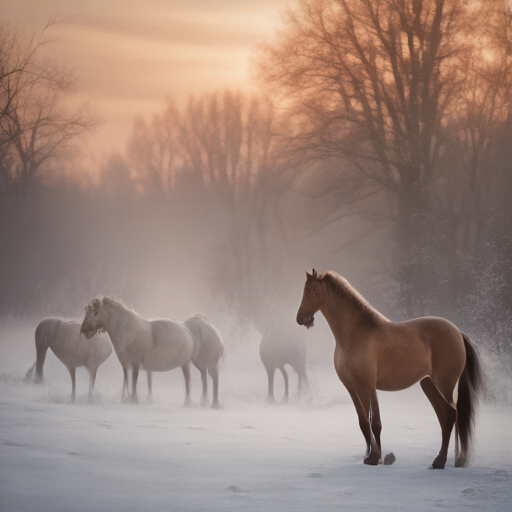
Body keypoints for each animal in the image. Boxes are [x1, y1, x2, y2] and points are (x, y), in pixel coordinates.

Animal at [296, 270, 484, 470]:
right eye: (304, 290)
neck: (355, 333)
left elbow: (374, 422)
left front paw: (373, 458)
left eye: (314, 291)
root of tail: (458, 333)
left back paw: (440, 461)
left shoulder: (366, 387)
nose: (300, 319)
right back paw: (456, 459)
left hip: (444, 385)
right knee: (447, 417)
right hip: (428, 385)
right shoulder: (352, 387)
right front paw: (370, 455)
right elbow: (363, 422)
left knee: (450, 414)